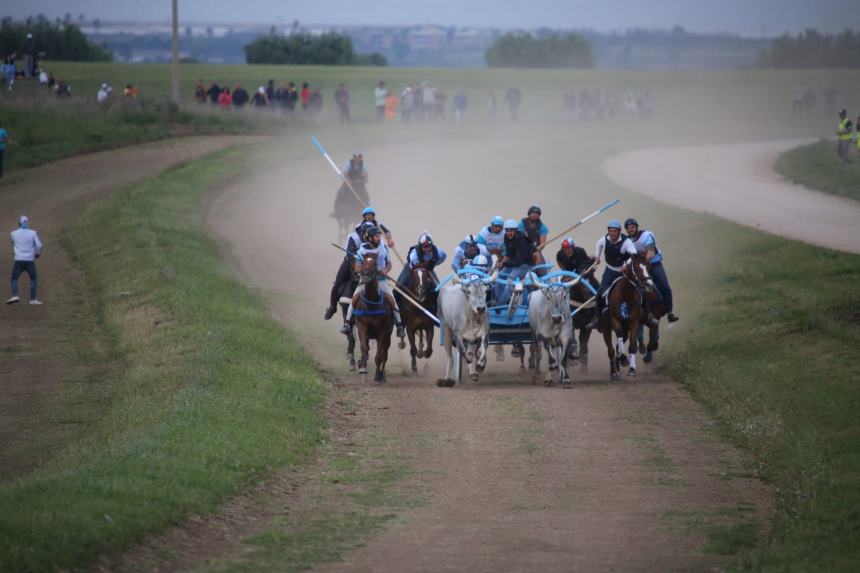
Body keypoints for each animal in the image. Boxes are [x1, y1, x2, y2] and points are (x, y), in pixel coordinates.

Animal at [354, 252, 394, 382]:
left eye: (375, 263)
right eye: (363, 261)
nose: (365, 275)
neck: (372, 303)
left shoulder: (382, 331)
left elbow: (379, 356)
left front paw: (377, 376)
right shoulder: (361, 326)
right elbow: (364, 348)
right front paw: (362, 367)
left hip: (388, 336)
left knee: (384, 354)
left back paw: (382, 375)